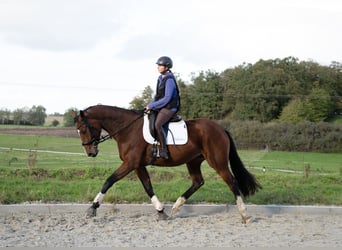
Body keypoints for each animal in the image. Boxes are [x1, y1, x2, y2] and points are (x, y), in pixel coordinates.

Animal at [71, 104, 260, 224]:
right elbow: (148, 187)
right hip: (193, 161)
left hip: (217, 162)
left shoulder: (130, 163)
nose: (90, 153)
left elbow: (109, 181)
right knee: (198, 182)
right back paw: (175, 207)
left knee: (232, 182)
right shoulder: (138, 165)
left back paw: (244, 215)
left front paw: (92, 208)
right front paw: (161, 211)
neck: (127, 129)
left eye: (84, 129)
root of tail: (221, 129)